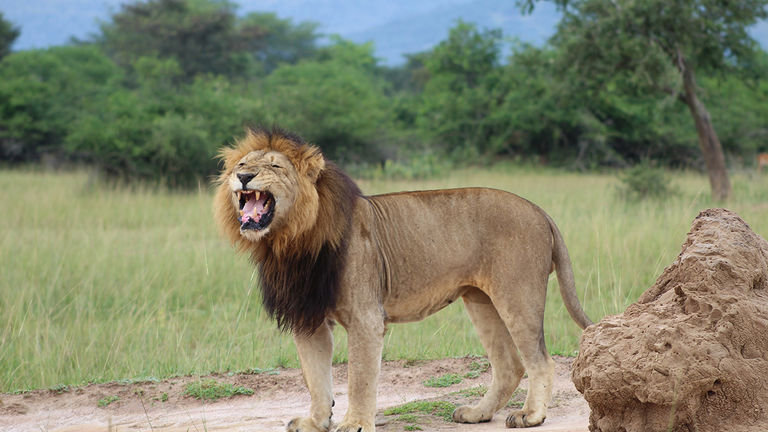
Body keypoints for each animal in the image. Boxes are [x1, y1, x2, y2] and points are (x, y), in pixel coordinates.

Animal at [214, 127, 593, 431]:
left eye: (275, 167)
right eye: (241, 164)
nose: (243, 176)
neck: (288, 242)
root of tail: (540, 210)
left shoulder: (366, 317)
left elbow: (360, 378)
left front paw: (355, 423)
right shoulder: (309, 318)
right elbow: (315, 376)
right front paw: (316, 421)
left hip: (517, 295)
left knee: (539, 360)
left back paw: (531, 416)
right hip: (480, 300)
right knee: (509, 365)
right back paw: (477, 413)